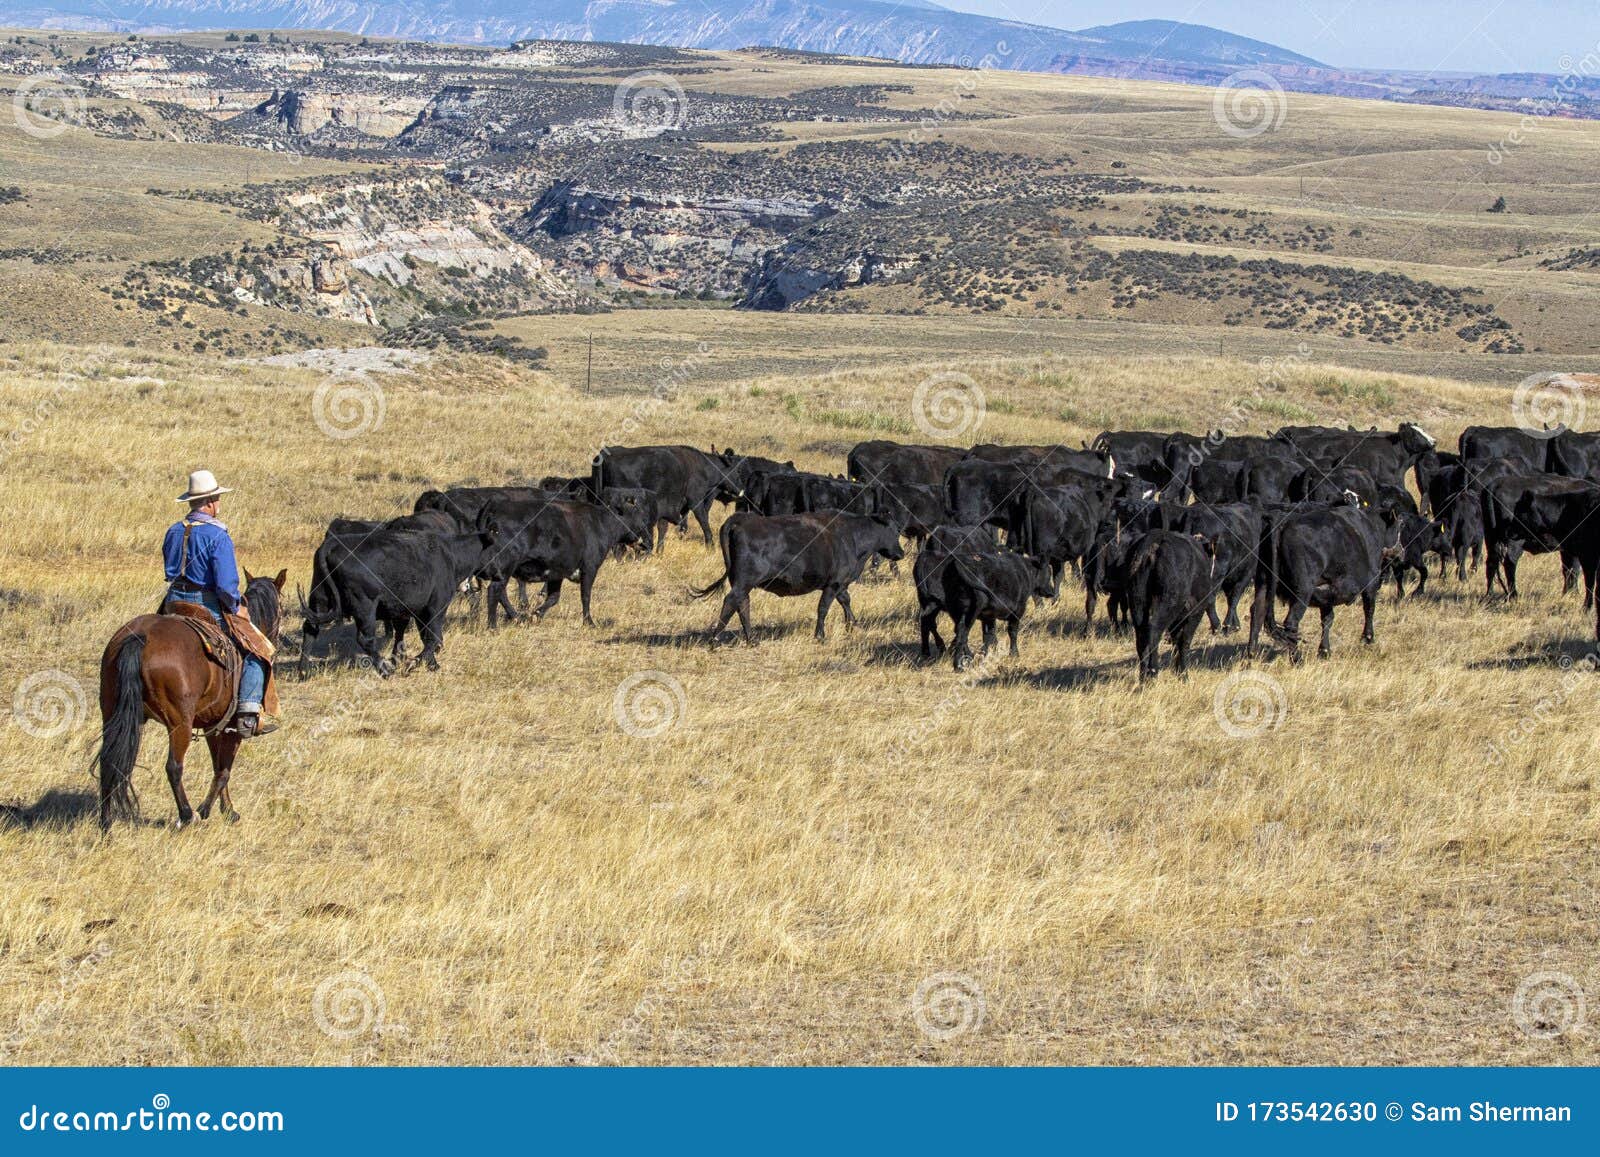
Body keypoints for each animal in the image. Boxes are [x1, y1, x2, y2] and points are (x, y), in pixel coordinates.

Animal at [96, 572, 284, 832]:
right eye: (281, 608)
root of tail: (140, 637)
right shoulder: (234, 728)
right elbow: (224, 770)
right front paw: (206, 810)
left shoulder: (213, 725)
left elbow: (217, 767)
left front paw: (228, 810)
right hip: (179, 723)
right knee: (173, 767)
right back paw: (187, 815)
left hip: (112, 711)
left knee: (108, 760)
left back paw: (106, 824)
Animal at [694, 512, 908, 646]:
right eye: (895, 530)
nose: (901, 553)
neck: (852, 537)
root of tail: (741, 519)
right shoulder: (833, 584)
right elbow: (823, 608)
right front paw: (820, 635)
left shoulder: (840, 583)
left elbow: (845, 601)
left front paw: (853, 624)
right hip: (744, 581)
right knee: (732, 601)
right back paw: (715, 640)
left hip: (742, 583)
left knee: (742, 605)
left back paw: (752, 639)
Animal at [1126, 531, 1209, 684]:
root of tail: (1155, 540)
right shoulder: (1196, 611)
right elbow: (1184, 641)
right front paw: (1183, 675)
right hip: (1168, 602)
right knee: (1154, 630)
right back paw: (1153, 672)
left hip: (1137, 600)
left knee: (1141, 635)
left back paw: (1143, 676)